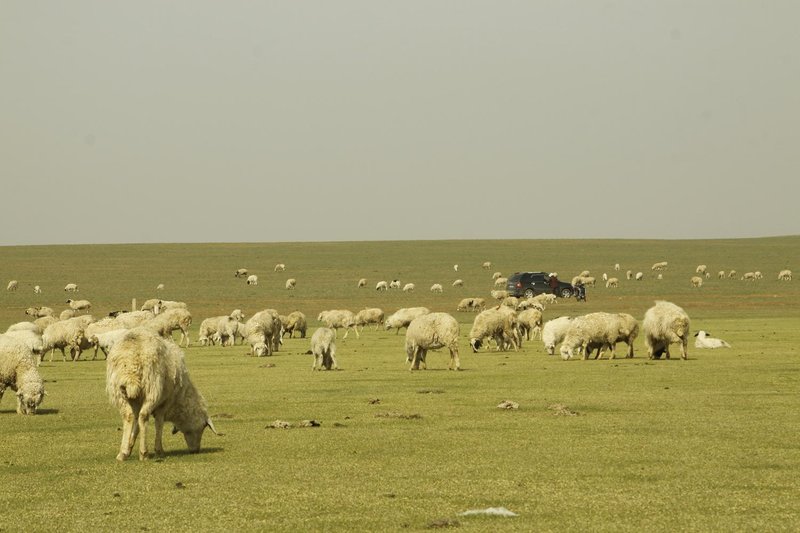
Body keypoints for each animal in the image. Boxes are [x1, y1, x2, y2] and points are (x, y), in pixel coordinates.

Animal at [106, 328, 220, 461]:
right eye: (202, 427)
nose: (195, 451)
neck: (180, 400)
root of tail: (131, 364)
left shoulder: (137, 403)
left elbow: (137, 425)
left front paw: (129, 448)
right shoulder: (164, 404)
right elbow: (158, 424)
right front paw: (159, 450)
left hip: (119, 391)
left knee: (128, 415)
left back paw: (122, 453)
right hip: (152, 389)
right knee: (143, 416)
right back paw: (144, 453)